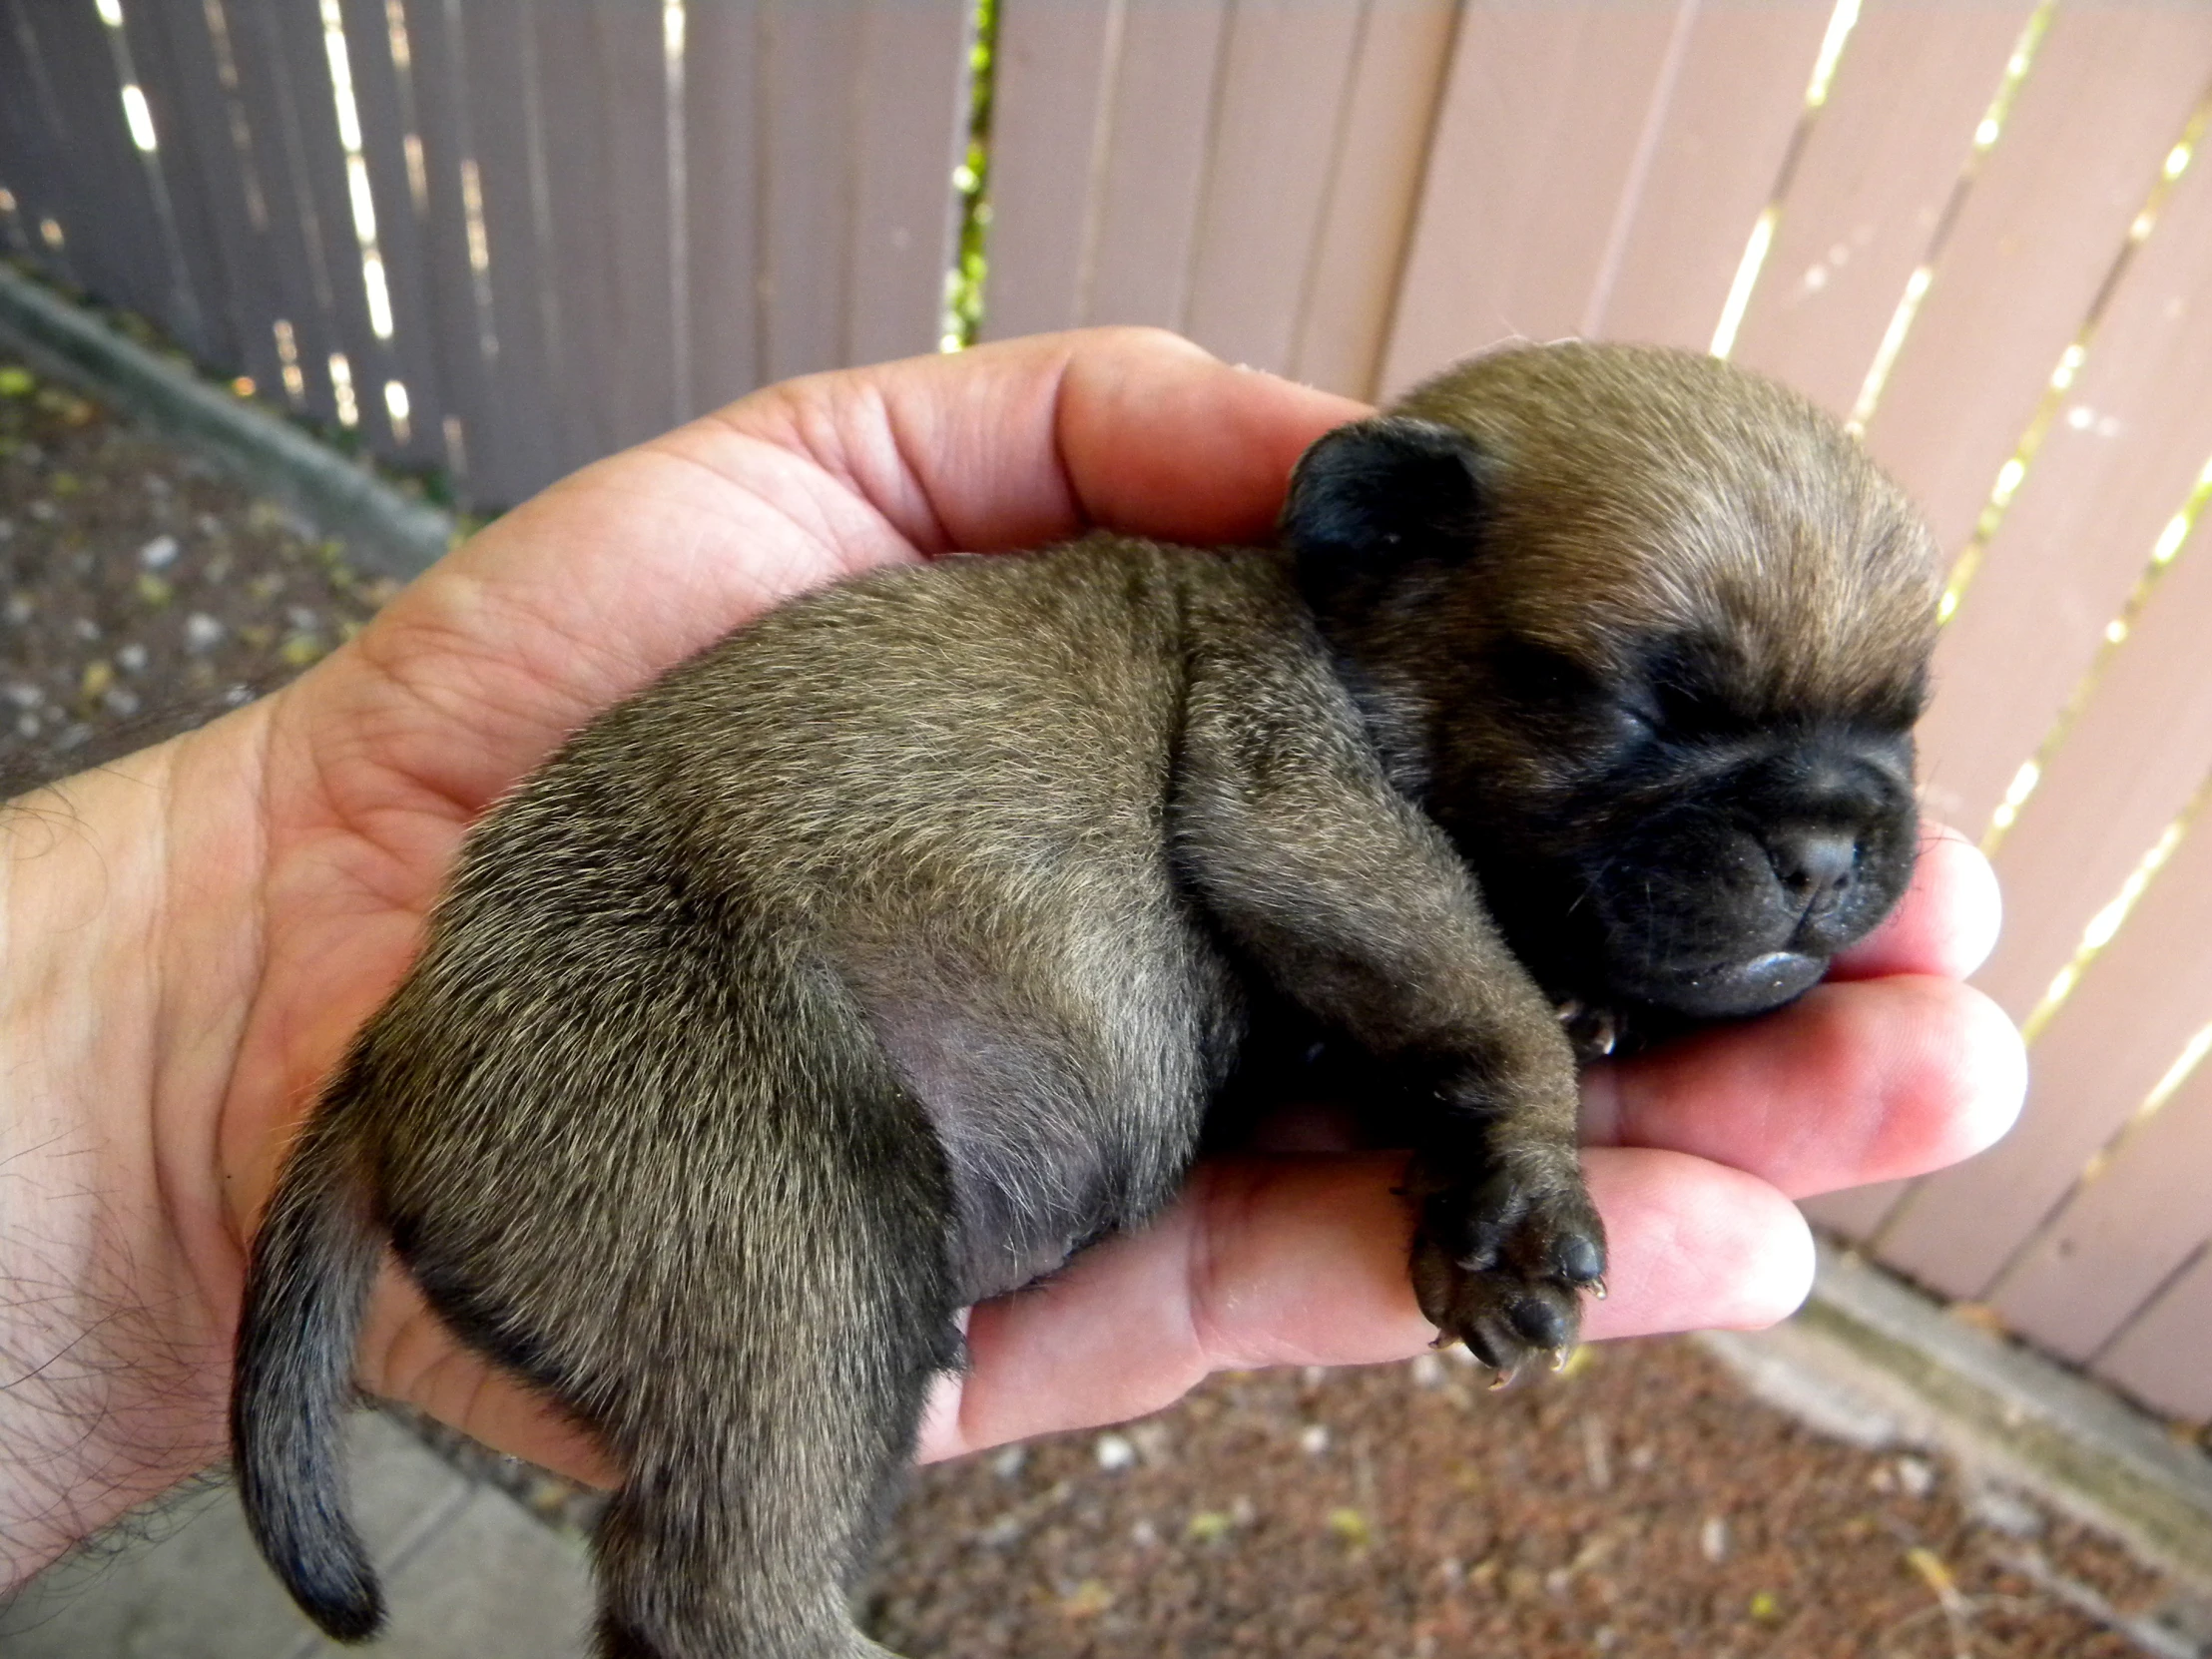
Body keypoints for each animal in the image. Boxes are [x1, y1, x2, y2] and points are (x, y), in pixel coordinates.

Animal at [233, 340, 1937, 1659]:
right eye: (1647, 707)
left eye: (1903, 724)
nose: (1835, 836)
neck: (1342, 630)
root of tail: (392, 1047)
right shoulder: (1304, 809)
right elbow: (1481, 1000)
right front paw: (1526, 1170)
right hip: (801, 1229)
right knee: (718, 1595)